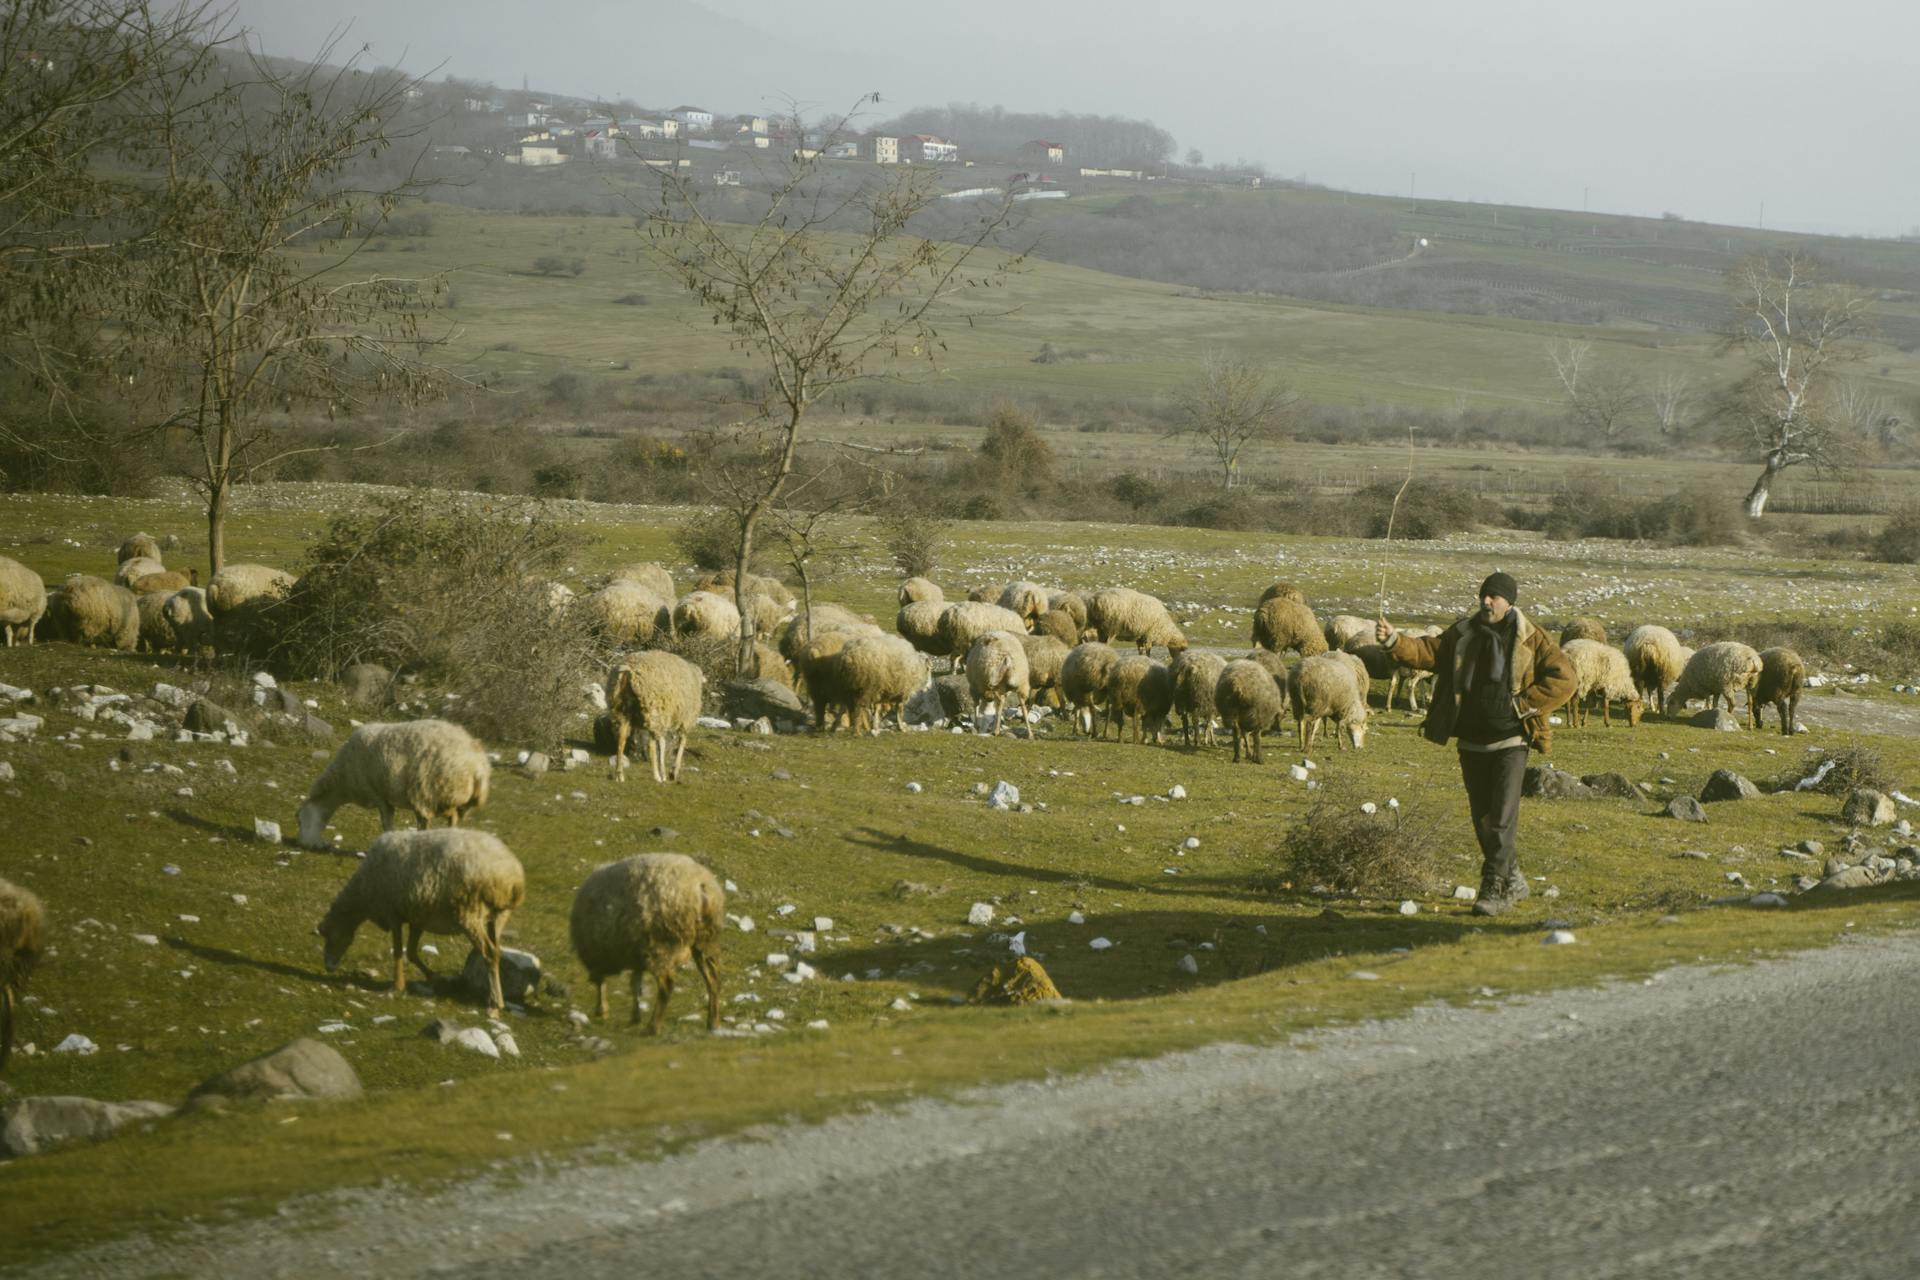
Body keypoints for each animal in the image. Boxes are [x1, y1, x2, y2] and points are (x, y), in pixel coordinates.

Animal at [291, 721, 491, 852]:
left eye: (299, 820)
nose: (302, 845)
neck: (343, 781)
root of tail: (476, 765)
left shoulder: (378, 794)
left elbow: (386, 823)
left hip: (429, 791)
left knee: (427, 821)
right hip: (454, 799)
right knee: (453, 821)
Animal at [316, 832, 529, 1020]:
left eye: (328, 935)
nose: (328, 967)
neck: (363, 893)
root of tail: (511, 878)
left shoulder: (393, 912)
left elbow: (398, 951)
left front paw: (397, 986)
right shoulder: (418, 917)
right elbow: (411, 952)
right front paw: (436, 978)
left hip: (469, 914)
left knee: (489, 953)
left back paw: (494, 1004)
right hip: (498, 917)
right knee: (498, 951)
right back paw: (497, 998)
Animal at [568, 855, 725, 1036]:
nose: (599, 1013)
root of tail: (700, 887)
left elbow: (617, 984)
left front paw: (606, 1010)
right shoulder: (636, 955)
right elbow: (635, 984)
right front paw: (634, 1016)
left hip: (661, 946)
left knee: (666, 985)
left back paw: (653, 1027)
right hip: (705, 940)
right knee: (713, 980)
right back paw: (713, 1023)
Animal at [606, 652, 706, 782]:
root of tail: (628, 670)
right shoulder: (685, 719)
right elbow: (681, 741)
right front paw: (673, 771)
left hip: (621, 709)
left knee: (621, 739)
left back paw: (619, 774)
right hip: (654, 710)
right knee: (652, 744)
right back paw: (658, 775)